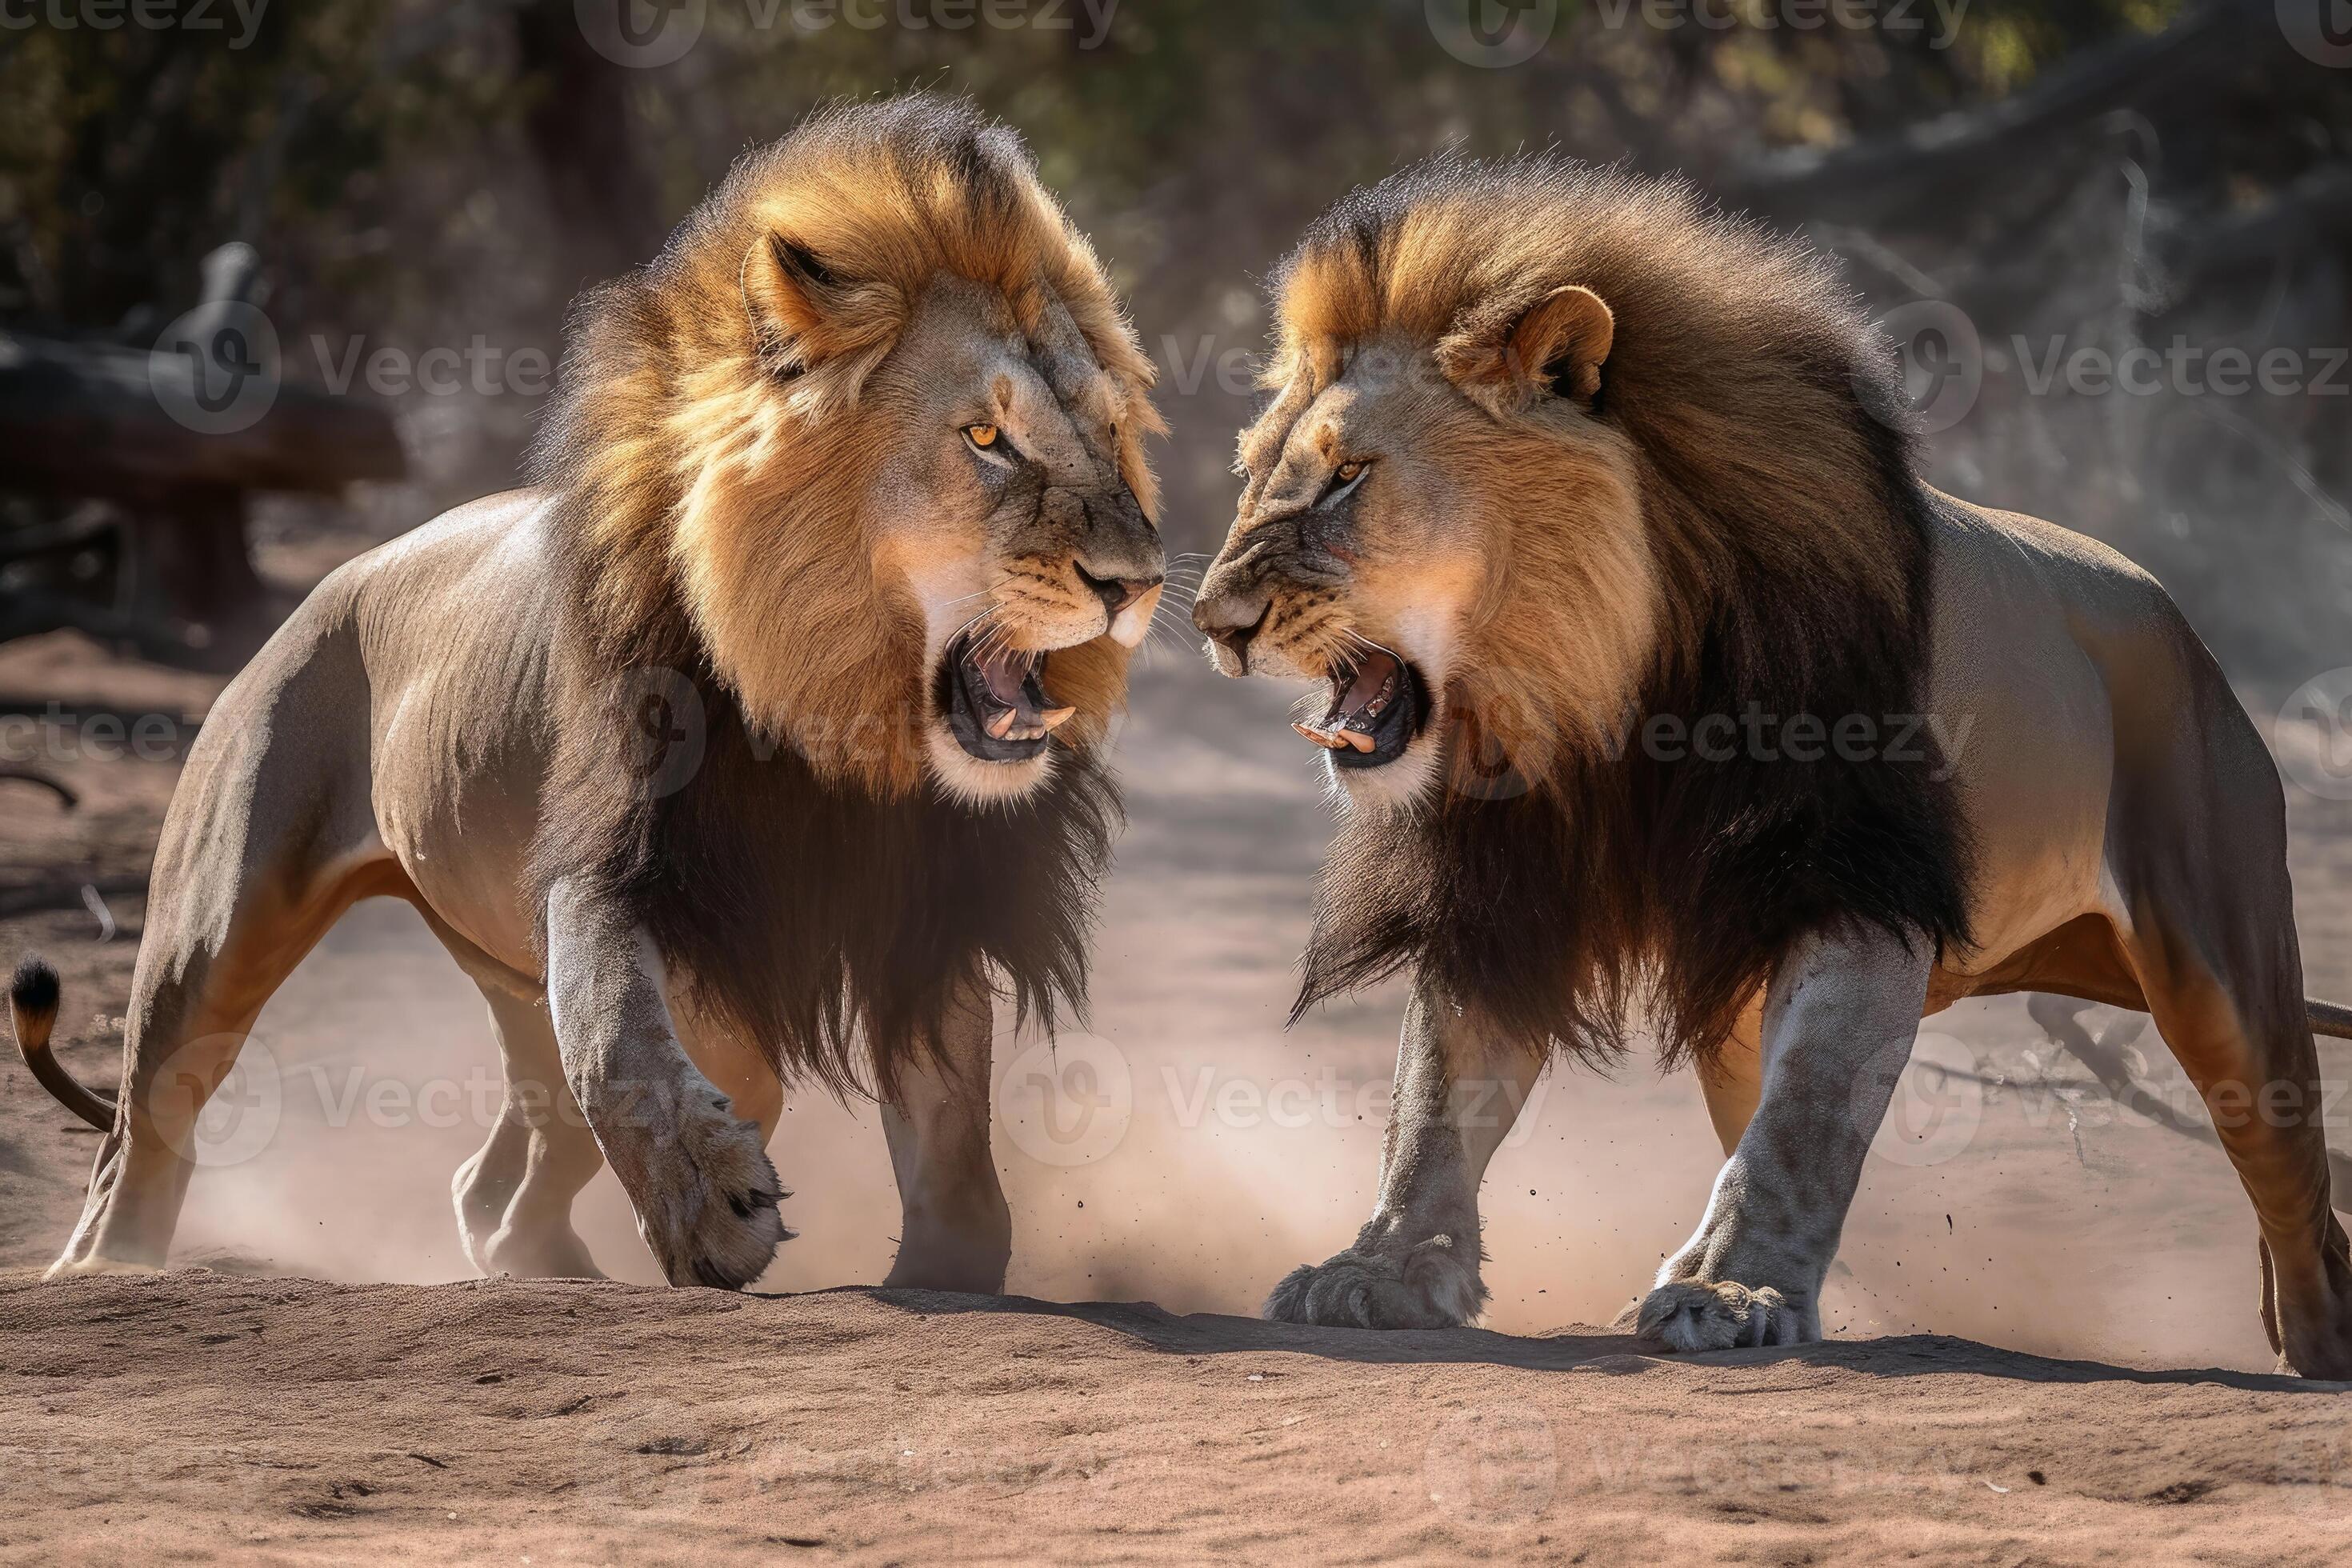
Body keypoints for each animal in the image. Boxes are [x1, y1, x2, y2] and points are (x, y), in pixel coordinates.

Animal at [6, 101, 1166, 1298]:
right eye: (986, 438)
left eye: (1109, 434)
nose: (1138, 583)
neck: (838, 724)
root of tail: (328, 587)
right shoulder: (616, 855)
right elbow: (614, 1040)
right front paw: (708, 1209)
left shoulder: (925, 915)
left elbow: (957, 1165)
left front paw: (935, 1269)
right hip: (213, 924)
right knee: (142, 1135)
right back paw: (112, 1264)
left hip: (535, 990)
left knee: (496, 1184)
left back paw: (551, 1267)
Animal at [1194, 153, 2352, 1382]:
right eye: (1253, 474)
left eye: (1348, 477)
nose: (1215, 622)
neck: (1601, 695)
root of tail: (2176, 618)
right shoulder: (1498, 891)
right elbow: (1433, 1101)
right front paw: (1383, 1268)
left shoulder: (1850, 881)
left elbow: (1804, 1120)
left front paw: (1730, 1290)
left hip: (2223, 967)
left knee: (2292, 1185)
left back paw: (2322, 1339)